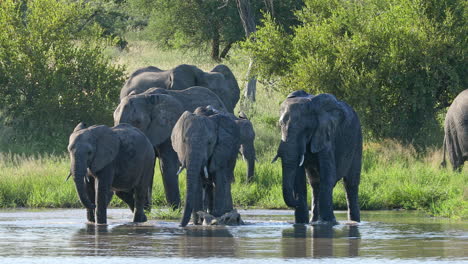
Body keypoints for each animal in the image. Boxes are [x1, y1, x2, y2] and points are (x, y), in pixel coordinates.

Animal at [270, 91, 362, 225]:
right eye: (280, 125)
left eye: (306, 129)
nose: (295, 202)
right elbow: (299, 179)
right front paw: (301, 223)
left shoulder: (326, 135)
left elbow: (328, 176)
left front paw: (329, 223)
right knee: (315, 184)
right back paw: (313, 221)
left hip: (357, 142)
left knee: (350, 184)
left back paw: (354, 222)